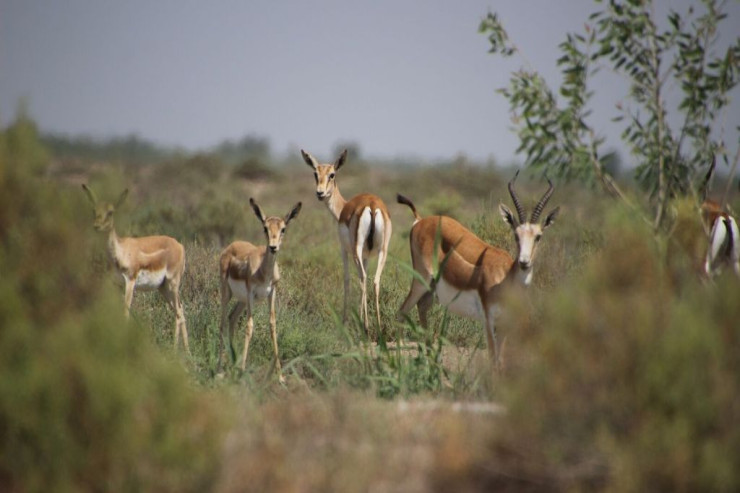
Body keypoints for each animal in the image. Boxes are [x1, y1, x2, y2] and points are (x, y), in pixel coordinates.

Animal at [82, 184, 189, 350]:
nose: (97, 226)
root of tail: (180, 246)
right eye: (94, 210)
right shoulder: (117, 285)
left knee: (178, 313)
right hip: (163, 288)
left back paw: (174, 351)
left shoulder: (130, 282)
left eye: (110, 212)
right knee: (181, 309)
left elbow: (125, 313)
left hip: (173, 284)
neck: (121, 251)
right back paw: (188, 352)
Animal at [218, 195, 302, 376]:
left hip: (242, 301)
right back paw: (219, 369)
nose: (273, 247)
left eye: (283, 229)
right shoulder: (251, 293)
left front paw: (280, 376)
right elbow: (250, 326)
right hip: (227, 293)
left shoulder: (272, 293)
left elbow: (272, 324)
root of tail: (231, 246)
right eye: (265, 228)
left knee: (232, 318)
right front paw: (242, 371)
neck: (263, 272)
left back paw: (232, 362)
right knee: (222, 322)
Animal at [396, 171, 556, 364]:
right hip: (421, 280)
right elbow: (492, 359)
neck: (506, 278)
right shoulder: (488, 319)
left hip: (431, 287)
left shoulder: (504, 323)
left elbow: (500, 360)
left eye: (538, 236)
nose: (523, 262)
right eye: (516, 235)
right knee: (401, 313)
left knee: (421, 307)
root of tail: (420, 220)